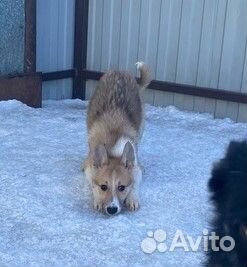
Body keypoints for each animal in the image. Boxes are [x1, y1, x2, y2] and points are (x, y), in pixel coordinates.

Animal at [83, 62, 151, 216]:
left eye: (121, 187)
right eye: (103, 187)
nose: (112, 209)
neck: (112, 147)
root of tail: (119, 71)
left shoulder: (135, 170)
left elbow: (135, 183)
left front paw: (132, 199)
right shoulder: (90, 171)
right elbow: (92, 183)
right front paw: (98, 200)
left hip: (141, 126)